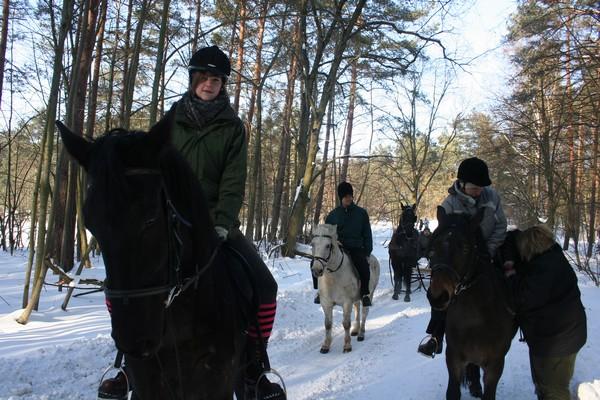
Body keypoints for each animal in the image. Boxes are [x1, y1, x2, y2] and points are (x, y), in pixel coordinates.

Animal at [310, 225, 380, 354]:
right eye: (313, 244)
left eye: (328, 245)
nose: (316, 270)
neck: (333, 277)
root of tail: (372, 257)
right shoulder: (326, 303)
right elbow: (328, 324)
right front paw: (325, 345)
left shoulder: (346, 303)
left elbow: (346, 324)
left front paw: (347, 346)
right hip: (356, 298)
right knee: (357, 310)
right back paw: (355, 330)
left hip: (369, 294)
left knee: (364, 313)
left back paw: (361, 334)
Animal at [426, 206, 516, 400]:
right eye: (433, 247)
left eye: (466, 248)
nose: (438, 297)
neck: (475, 318)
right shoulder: (454, 358)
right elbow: (453, 392)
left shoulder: (495, 364)